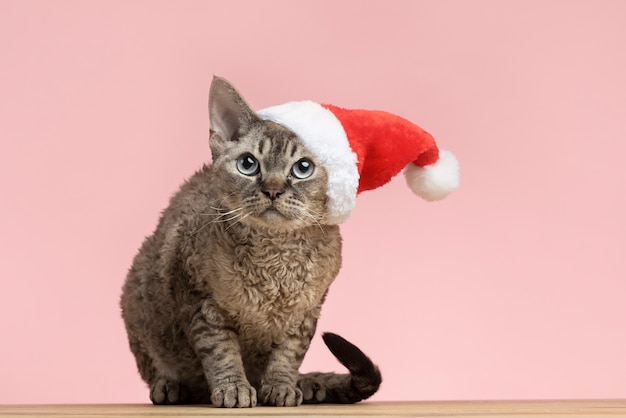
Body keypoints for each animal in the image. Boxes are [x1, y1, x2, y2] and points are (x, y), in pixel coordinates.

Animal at [119, 76, 378, 406]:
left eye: (302, 168)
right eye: (248, 164)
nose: (273, 190)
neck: (275, 262)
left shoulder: (305, 315)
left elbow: (288, 355)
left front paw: (281, 386)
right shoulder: (202, 305)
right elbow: (221, 353)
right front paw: (233, 388)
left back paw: (307, 384)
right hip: (136, 298)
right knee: (165, 370)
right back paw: (171, 387)